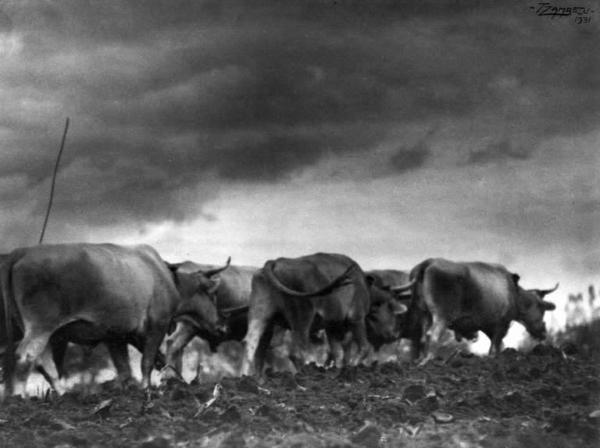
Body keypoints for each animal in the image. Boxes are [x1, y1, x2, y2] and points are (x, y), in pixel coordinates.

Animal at [0, 243, 230, 394]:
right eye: (212, 294)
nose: (222, 326)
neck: (168, 279)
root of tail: (21, 251)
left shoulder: (115, 336)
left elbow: (124, 367)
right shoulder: (157, 325)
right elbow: (146, 362)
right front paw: (146, 389)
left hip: (43, 331)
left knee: (42, 363)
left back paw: (62, 393)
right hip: (41, 327)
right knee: (26, 355)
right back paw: (20, 396)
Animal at [241, 254, 410, 376]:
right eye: (391, 309)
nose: (393, 334)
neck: (366, 288)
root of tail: (274, 262)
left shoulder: (332, 326)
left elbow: (338, 353)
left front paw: (337, 371)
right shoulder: (356, 318)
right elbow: (364, 347)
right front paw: (352, 367)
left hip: (261, 316)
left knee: (252, 345)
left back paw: (252, 379)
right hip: (302, 317)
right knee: (297, 352)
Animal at [408, 258, 556, 362]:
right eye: (542, 309)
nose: (543, 333)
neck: (515, 296)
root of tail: (428, 262)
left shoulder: (486, 325)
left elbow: (498, 346)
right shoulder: (502, 323)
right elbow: (495, 347)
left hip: (424, 313)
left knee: (422, 337)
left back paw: (420, 359)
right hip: (442, 315)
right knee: (432, 334)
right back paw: (430, 360)